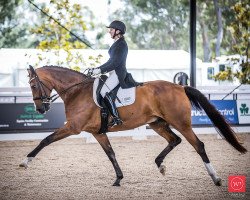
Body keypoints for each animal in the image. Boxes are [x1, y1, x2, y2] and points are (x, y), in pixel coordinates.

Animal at [19, 65, 246, 186]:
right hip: (158, 124)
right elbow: (111, 154)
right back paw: (160, 164)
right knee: (175, 140)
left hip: (181, 123)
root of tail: (180, 87)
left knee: (198, 145)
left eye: (32, 84)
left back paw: (215, 178)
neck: (77, 92)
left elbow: (46, 140)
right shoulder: (97, 132)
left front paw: (25, 162)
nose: (40, 109)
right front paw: (118, 179)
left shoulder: (73, 127)